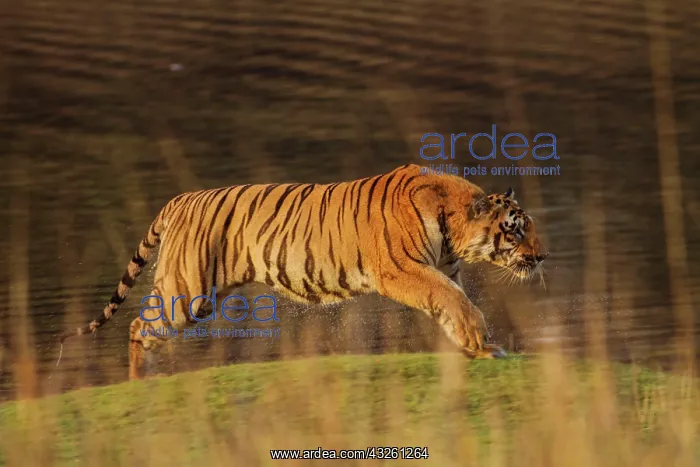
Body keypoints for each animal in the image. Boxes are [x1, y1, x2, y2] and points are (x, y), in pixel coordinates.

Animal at [59, 163, 549, 379]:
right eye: (516, 229)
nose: (543, 256)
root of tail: (180, 199)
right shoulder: (401, 270)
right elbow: (456, 303)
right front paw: (482, 345)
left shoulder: (443, 271)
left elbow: (456, 303)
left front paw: (472, 345)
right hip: (187, 292)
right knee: (139, 325)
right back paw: (140, 381)